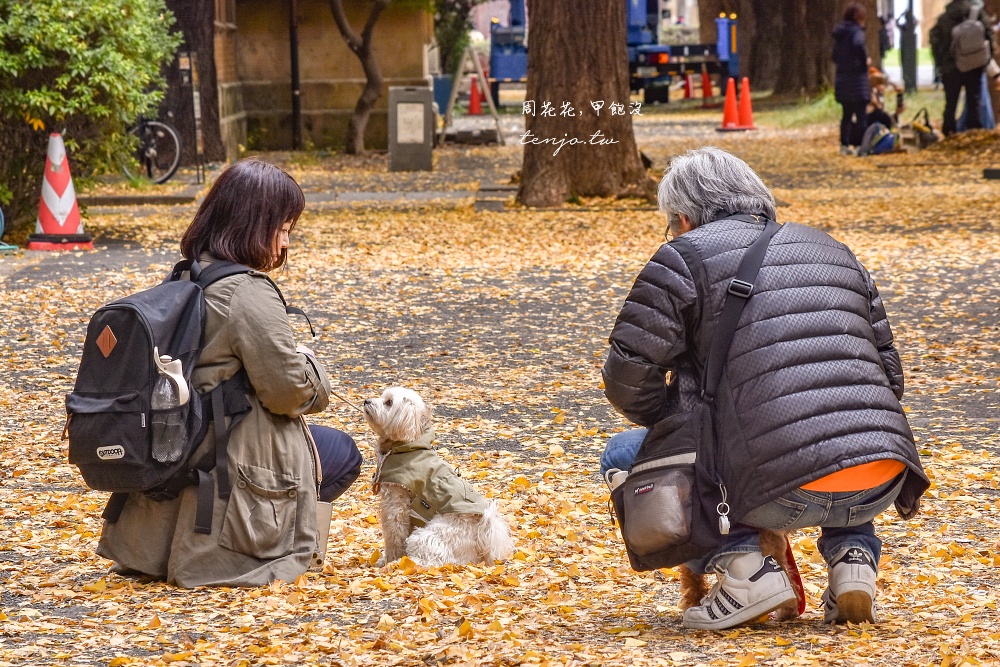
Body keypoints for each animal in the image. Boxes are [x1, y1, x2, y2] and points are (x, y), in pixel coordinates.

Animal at [362, 386, 516, 568]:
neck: (410, 444)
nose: (366, 401)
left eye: (389, 402)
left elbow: (394, 534)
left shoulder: (396, 503)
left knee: (430, 561)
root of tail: (483, 529)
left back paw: (403, 563)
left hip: (427, 535)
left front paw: (389, 560)